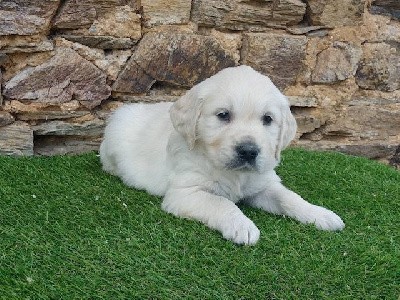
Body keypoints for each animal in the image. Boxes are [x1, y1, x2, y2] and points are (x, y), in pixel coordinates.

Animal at [101, 65, 344, 244]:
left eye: (267, 119)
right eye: (223, 115)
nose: (249, 151)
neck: (234, 173)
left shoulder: (263, 184)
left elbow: (289, 197)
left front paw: (320, 214)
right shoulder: (185, 193)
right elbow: (221, 202)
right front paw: (242, 226)